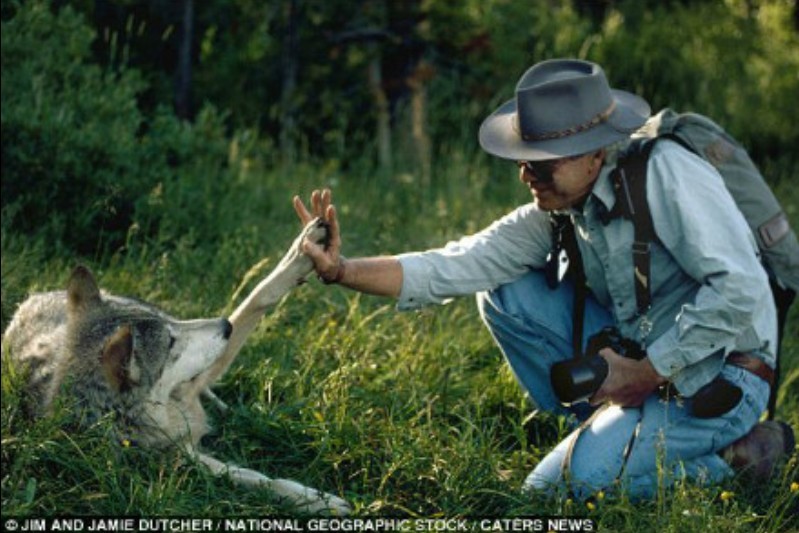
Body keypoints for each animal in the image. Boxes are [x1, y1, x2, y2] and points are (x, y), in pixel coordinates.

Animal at [1, 218, 350, 512]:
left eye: (170, 326)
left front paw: (306, 249)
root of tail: (36, 296)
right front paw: (319, 502)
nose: (224, 326)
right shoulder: (180, 459)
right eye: (169, 344)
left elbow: (258, 296)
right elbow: (252, 478)